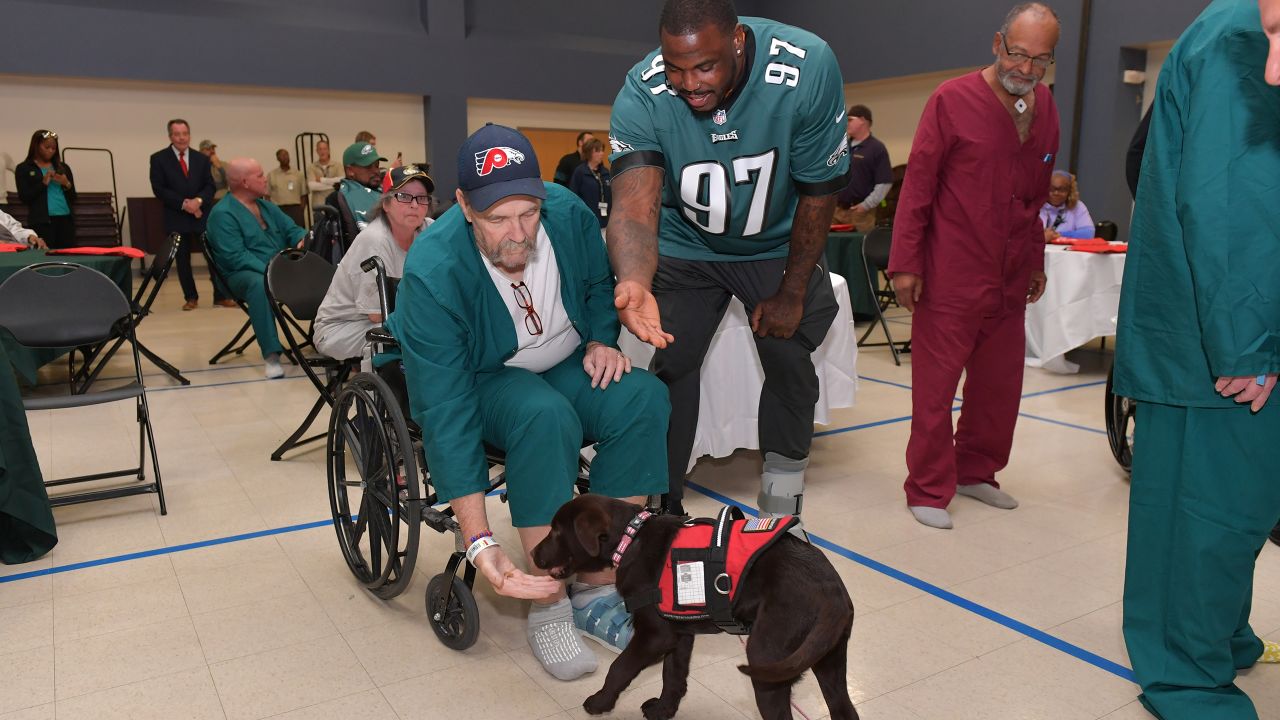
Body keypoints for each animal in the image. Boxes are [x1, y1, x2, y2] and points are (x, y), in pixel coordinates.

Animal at [532, 491, 860, 717]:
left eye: (558, 531)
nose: (534, 554)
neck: (631, 539)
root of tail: (832, 590)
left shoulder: (654, 635)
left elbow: (619, 668)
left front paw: (600, 702)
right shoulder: (679, 634)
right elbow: (673, 676)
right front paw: (663, 710)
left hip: (767, 657)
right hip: (829, 659)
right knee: (844, 709)